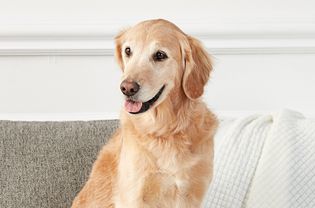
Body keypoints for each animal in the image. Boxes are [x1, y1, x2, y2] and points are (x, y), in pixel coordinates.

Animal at [72, 18, 217, 207]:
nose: (127, 88)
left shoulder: (192, 193)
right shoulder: (134, 194)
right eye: (128, 51)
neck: (165, 129)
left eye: (160, 55)